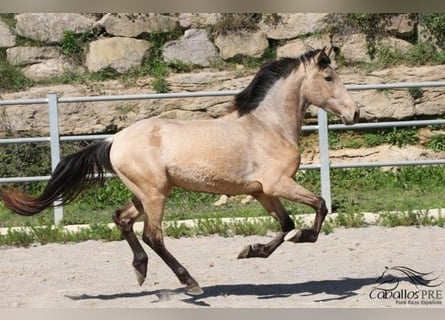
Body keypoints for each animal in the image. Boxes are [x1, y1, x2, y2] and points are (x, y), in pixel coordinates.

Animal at [0, 47, 360, 296]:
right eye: (329, 78)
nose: (354, 113)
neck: (268, 127)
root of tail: (114, 139)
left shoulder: (262, 192)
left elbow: (285, 224)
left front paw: (250, 251)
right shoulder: (277, 184)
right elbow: (319, 206)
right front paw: (304, 237)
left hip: (145, 193)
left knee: (122, 219)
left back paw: (141, 270)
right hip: (155, 193)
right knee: (153, 235)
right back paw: (190, 282)